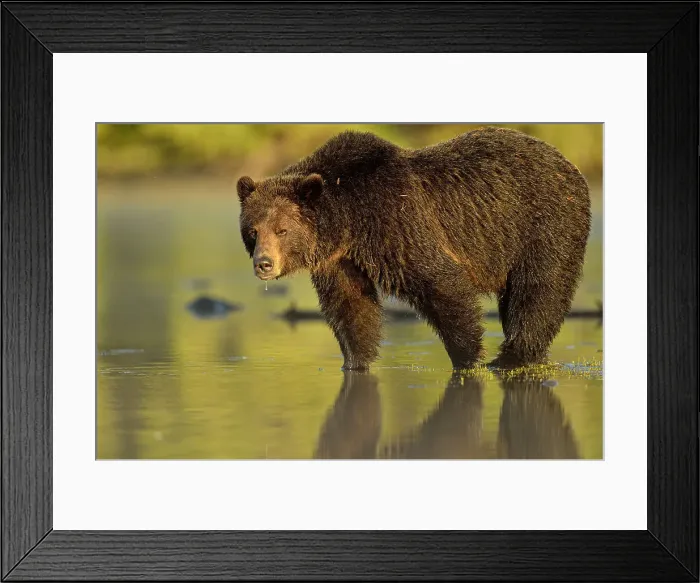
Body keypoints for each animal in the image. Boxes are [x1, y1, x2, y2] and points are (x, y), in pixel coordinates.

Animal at [237, 127, 591, 371]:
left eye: (282, 230)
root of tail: (569, 165)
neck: (349, 219)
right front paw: (354, 361)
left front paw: (469, 357)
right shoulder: (340, 259)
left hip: (544, 226)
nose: (264, 264)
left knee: (538, 292)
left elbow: (440, 282)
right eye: (253, 231)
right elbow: (351, 306)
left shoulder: (397, 222)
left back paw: (511, 358)